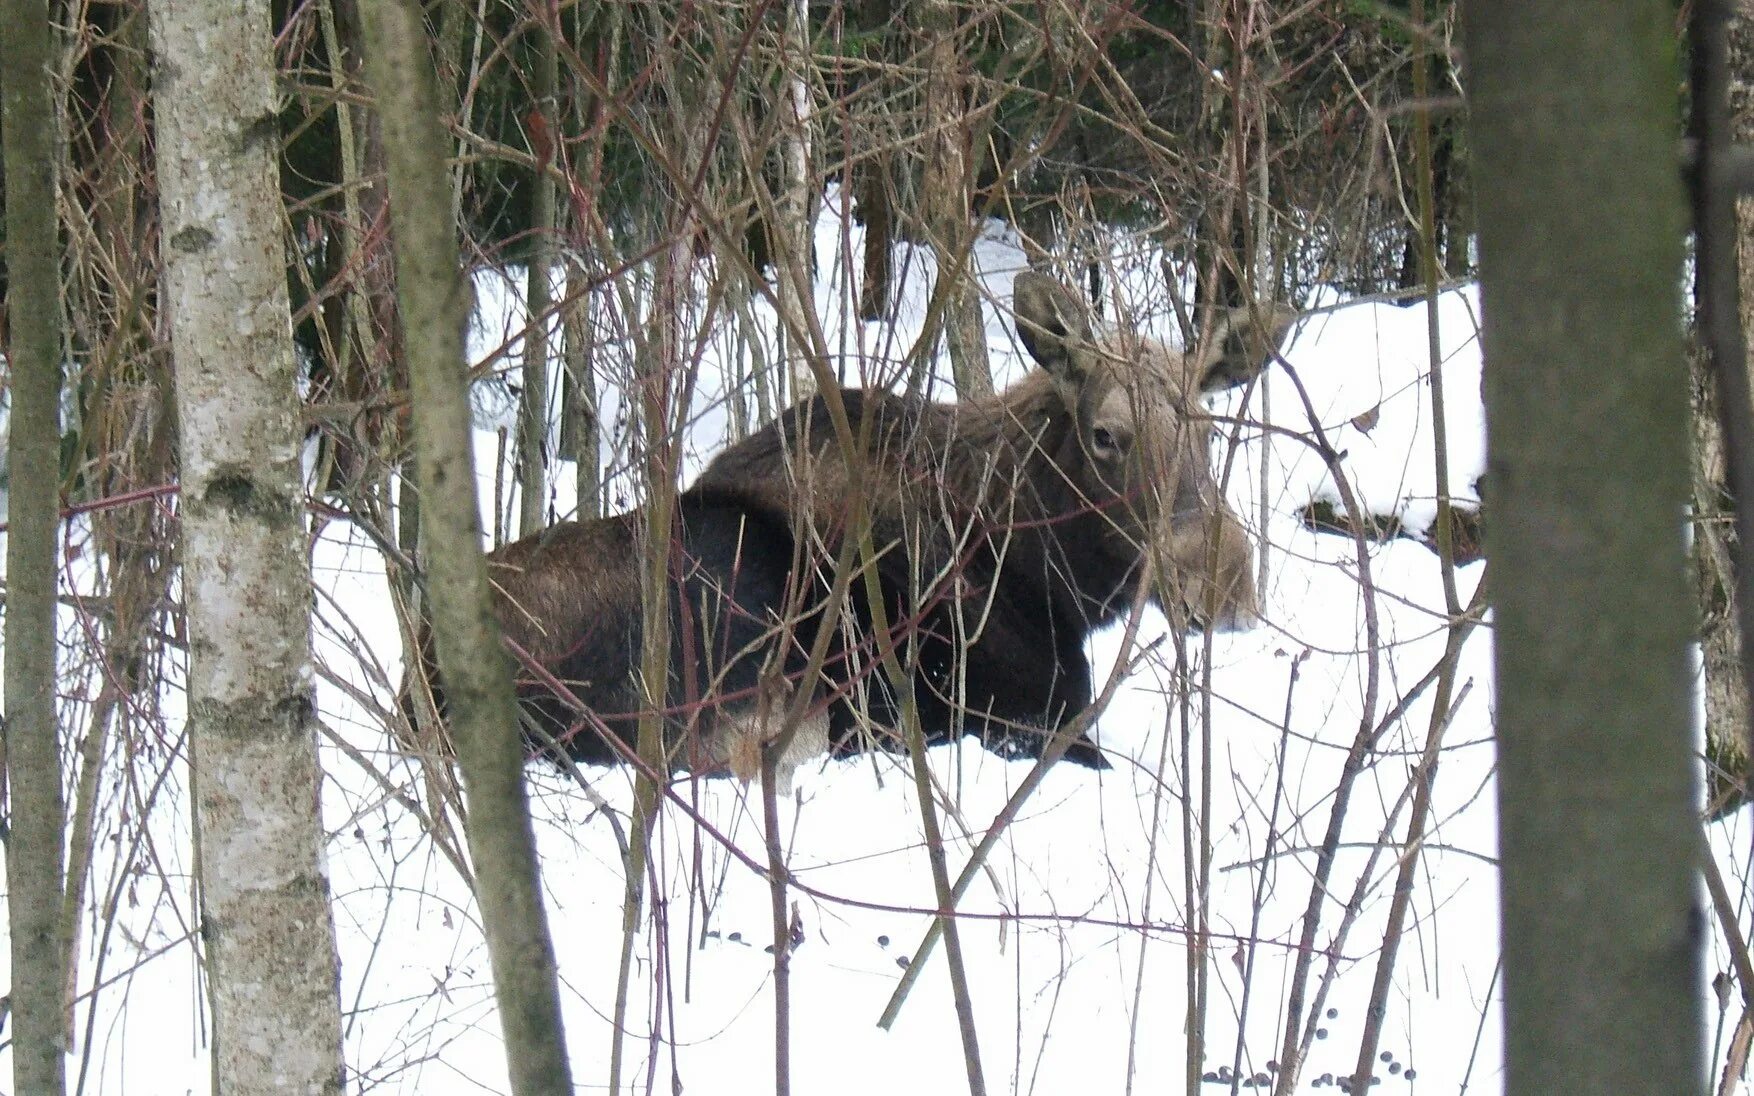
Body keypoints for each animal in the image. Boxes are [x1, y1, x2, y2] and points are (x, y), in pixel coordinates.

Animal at [403, 275, 1297, 785]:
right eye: (1107, 435)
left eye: (1211, 429)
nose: (1223, 581)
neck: (1050, 570)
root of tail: (421, 680)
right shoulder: (1022, 717)